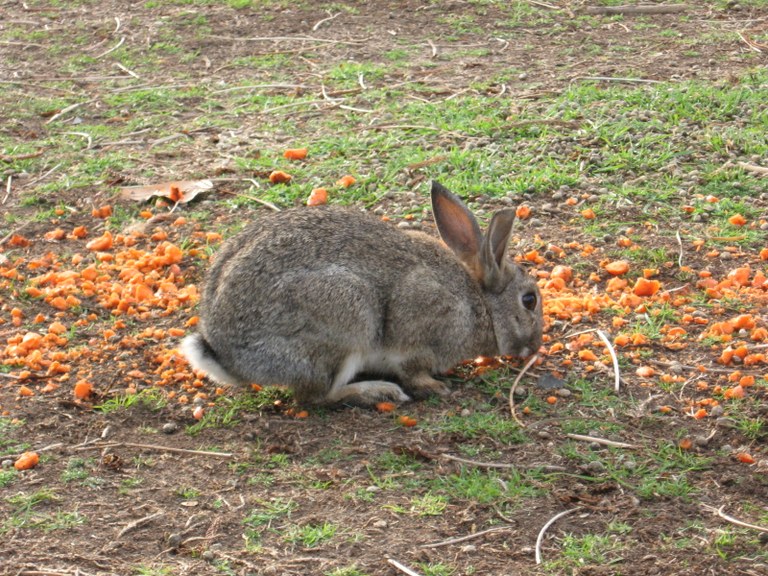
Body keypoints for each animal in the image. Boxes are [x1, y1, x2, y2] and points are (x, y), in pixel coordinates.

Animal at [181, 182, 544, 408]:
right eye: (529, 300)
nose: (535, 347)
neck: (479, 303)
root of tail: (231, 361)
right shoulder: (419, 327)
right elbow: (412, 368)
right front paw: (435, 387)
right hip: (346, 318)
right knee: (316, 397)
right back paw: (376, 392)